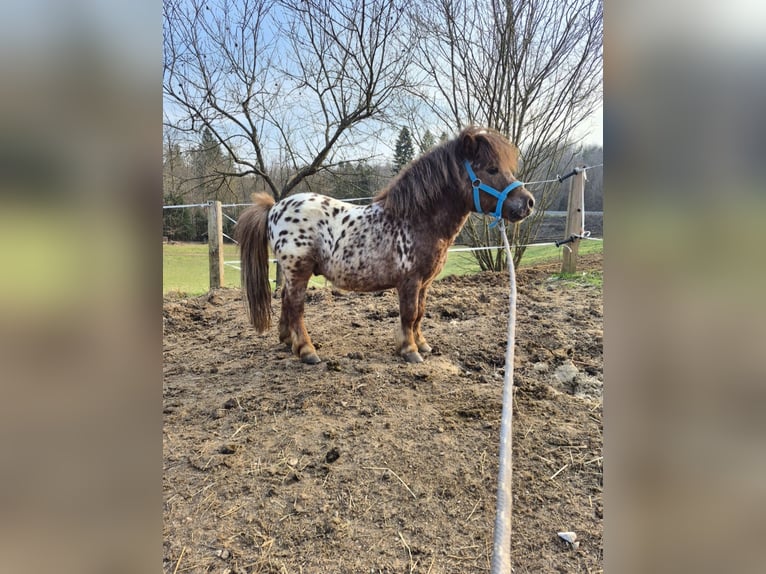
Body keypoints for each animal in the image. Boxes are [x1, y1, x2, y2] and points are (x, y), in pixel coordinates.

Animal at [235, 126, 535, 364]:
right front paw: (410, 351)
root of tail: (275, 208)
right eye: (492, 169)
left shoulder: (424, 283)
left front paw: (422, 344)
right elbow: (409, 314)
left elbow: (420, 314)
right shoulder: (410, 282)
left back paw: (288, 341)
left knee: (286, 301)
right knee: (296, 306)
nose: (528, 202)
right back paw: (307, 351)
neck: (416, 219)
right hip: (299, 270)